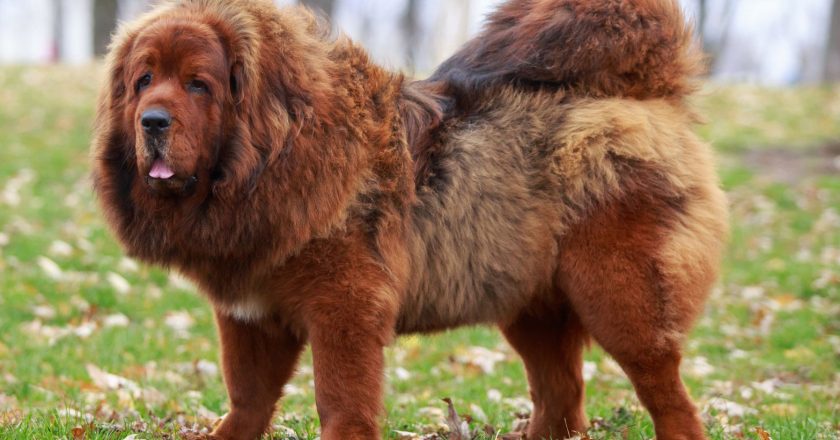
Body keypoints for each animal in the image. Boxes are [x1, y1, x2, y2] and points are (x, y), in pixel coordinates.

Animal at [92, 0, 728, 440]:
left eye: (198, 84)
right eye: (143, 80)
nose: (152, 121)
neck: (273, 158)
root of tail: (649, 96)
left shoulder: (344, 308)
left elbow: (340, 402)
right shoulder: (250, 315)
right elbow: (248, 398)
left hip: (621, 301)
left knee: (668, 399)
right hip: (530, 306)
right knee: (563, 398)